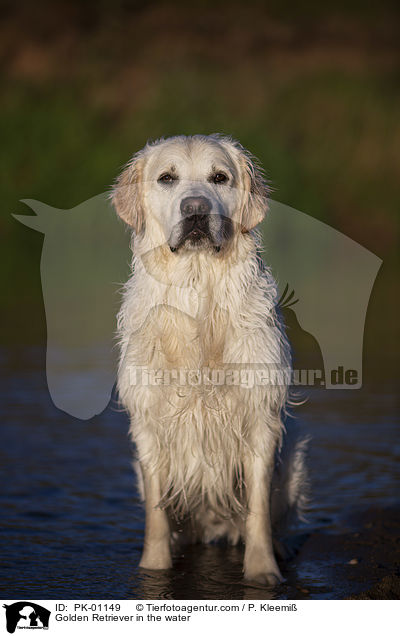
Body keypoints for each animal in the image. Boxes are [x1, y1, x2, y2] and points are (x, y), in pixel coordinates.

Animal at [111, 134, 308, 588]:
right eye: (167, 178)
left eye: (220, 177)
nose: (196, 210)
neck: (198, 290)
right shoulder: (149, 425)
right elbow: (157, 515)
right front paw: (154, 567)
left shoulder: (260, 419)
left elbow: (257, 510)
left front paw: (262, 571)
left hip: (292, 463)